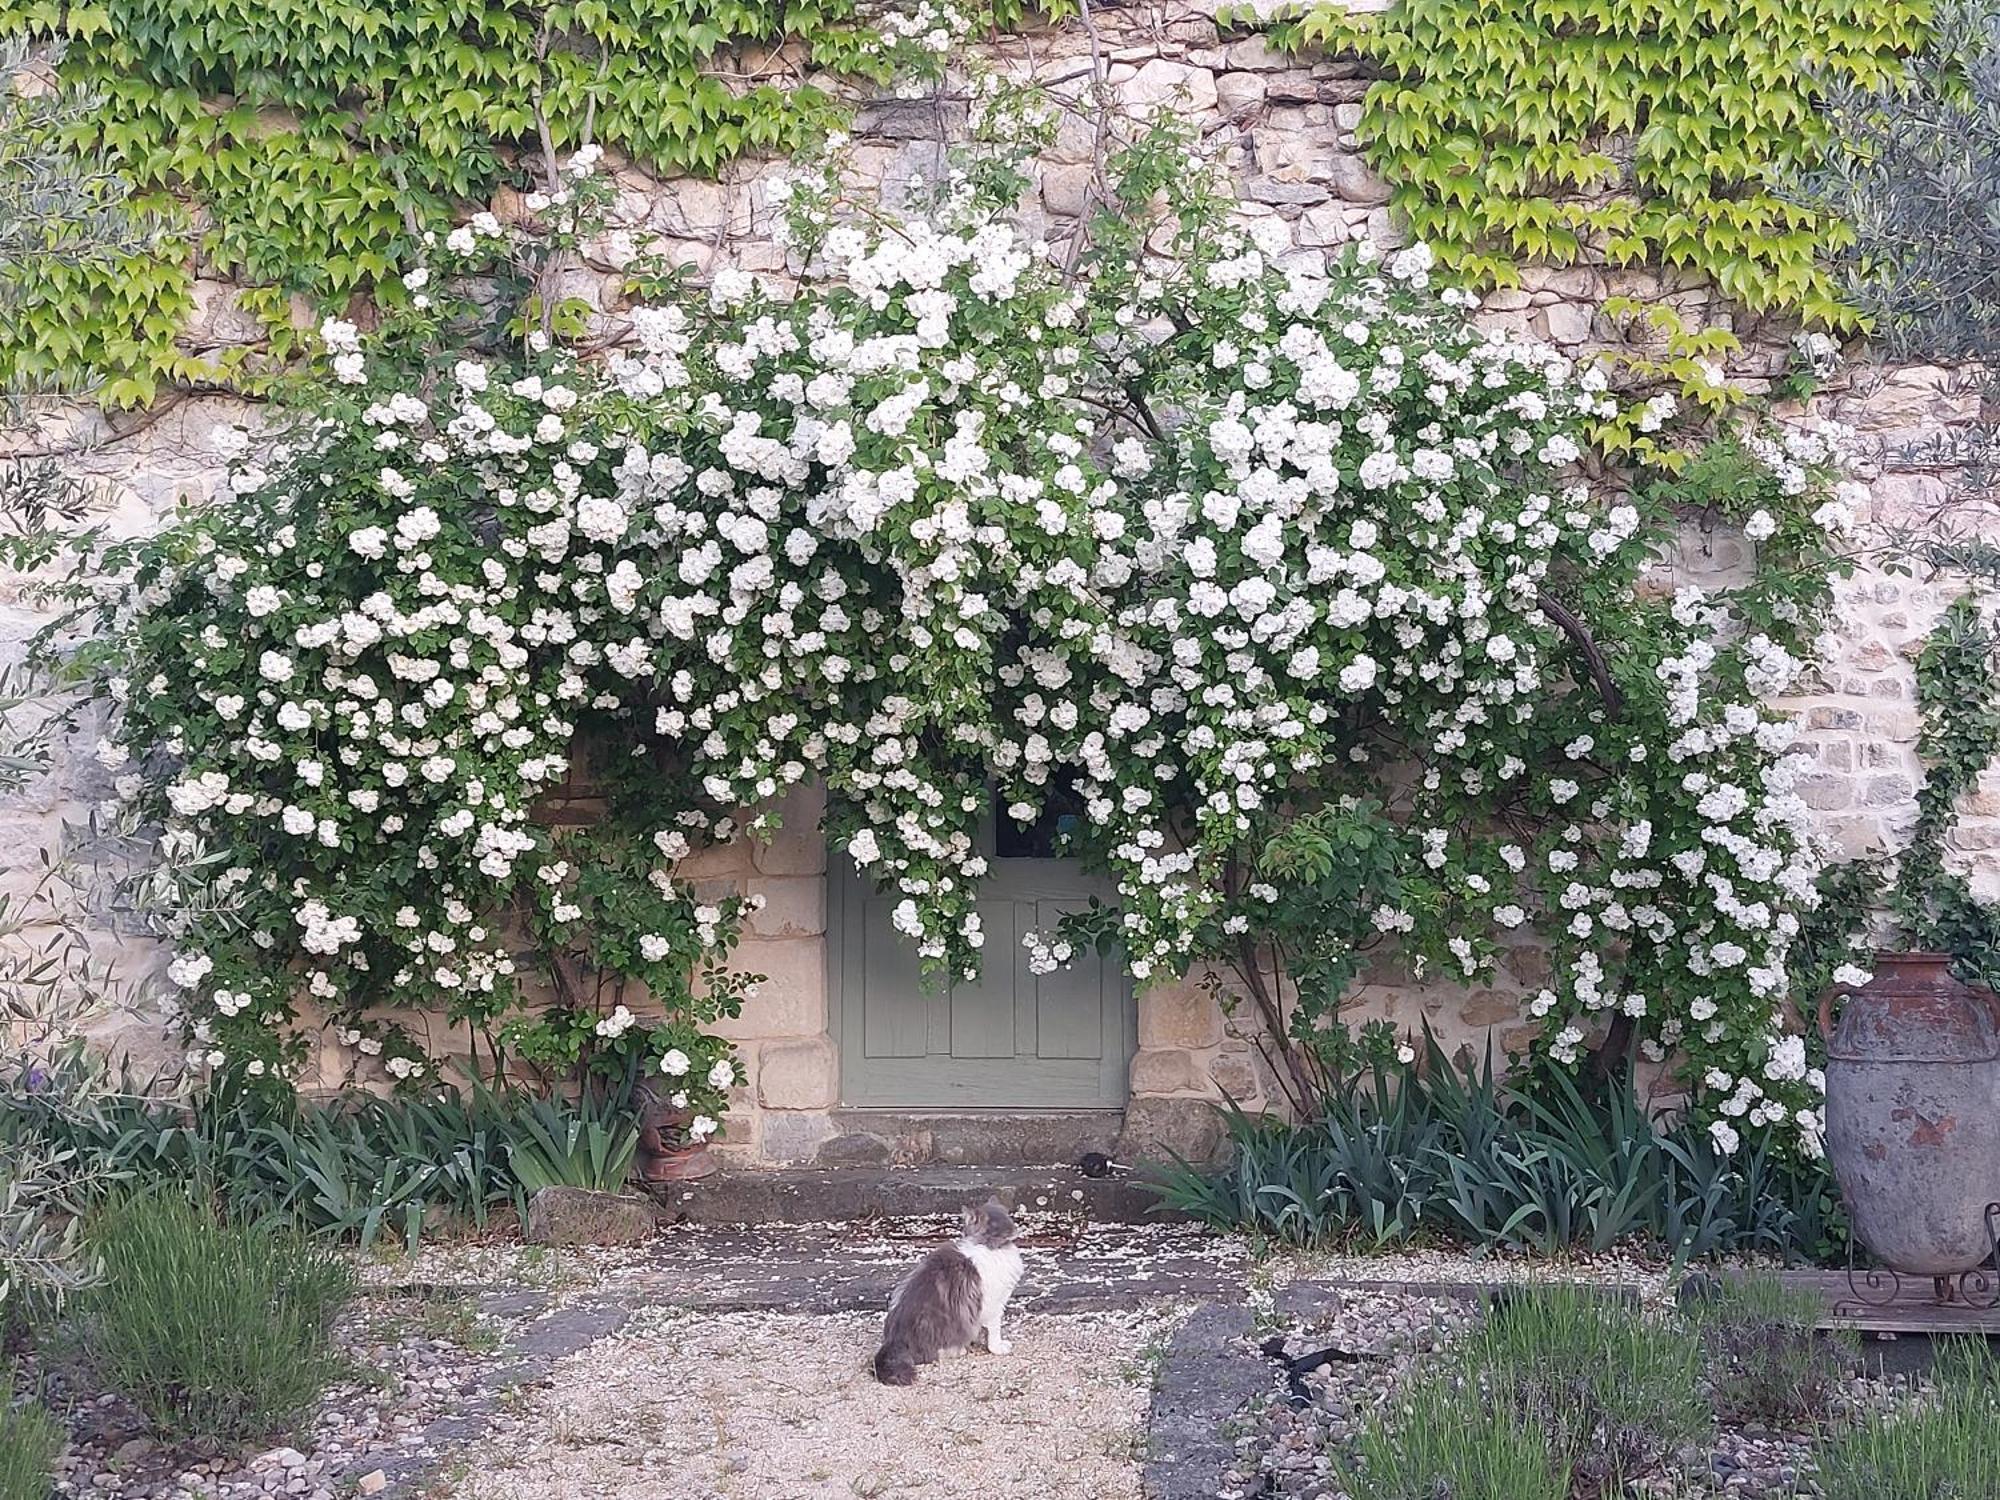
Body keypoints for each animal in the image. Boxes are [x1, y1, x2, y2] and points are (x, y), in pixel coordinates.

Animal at [876, 1208, 1024, 1392]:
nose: (1015, 1230)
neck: (989, 1246)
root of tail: (895, 1339)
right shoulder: (994, 1305)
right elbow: (994, 1331)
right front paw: (997, 1347)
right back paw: (957, 1350)